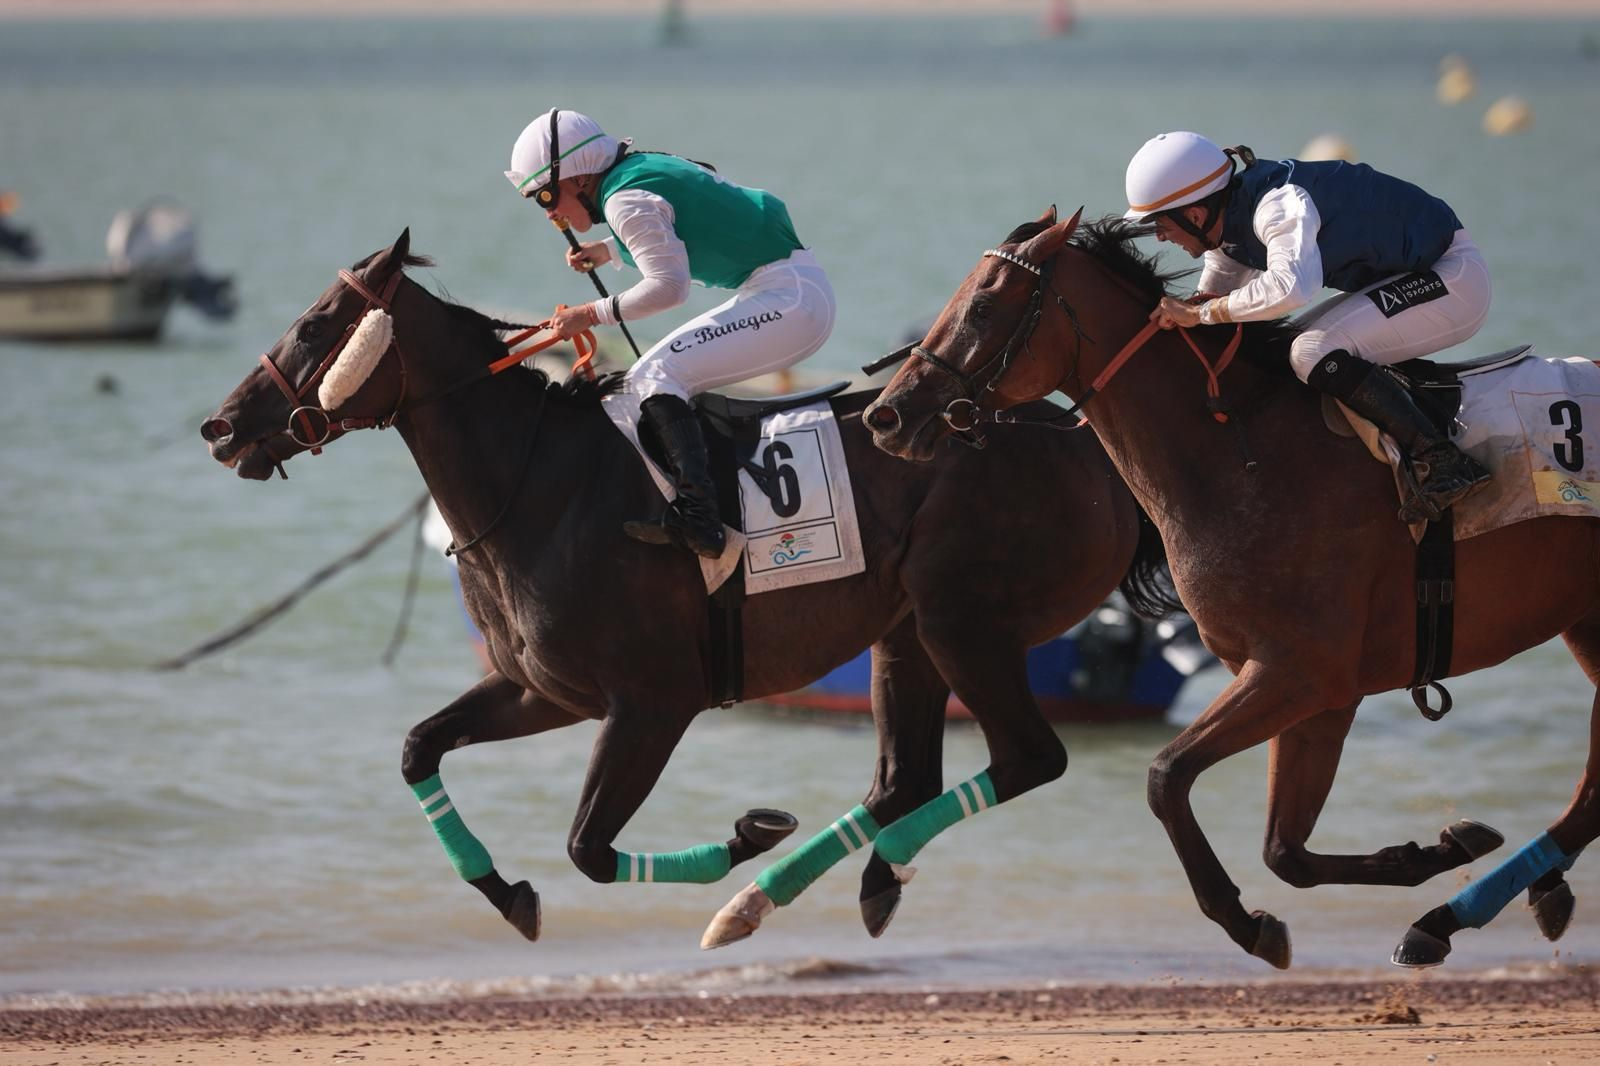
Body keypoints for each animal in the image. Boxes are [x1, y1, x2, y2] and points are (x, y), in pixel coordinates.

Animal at [199, 228, 1179, 949]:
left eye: (316, 325)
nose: (222, 427)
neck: (538, 483)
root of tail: (1087, 437)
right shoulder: (542, 690)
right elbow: (418, 750)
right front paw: (506, 891)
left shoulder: (651, 701)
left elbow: (588, 848)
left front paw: (743, 835)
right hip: (905, 632)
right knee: (904, 780)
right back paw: (794, 894)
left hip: (963, 620)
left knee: (1026, 758)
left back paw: (809, 881)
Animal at [863, 207, 1593, 970]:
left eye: (981, 304)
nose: (886, 414)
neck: (1243, 456)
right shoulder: (1318, 691)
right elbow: (1285, 851)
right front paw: (1438, 848)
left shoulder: (1299, 673)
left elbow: (1166, 778)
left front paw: (1244, 920)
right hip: (1585, 619)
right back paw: (1470, 910)